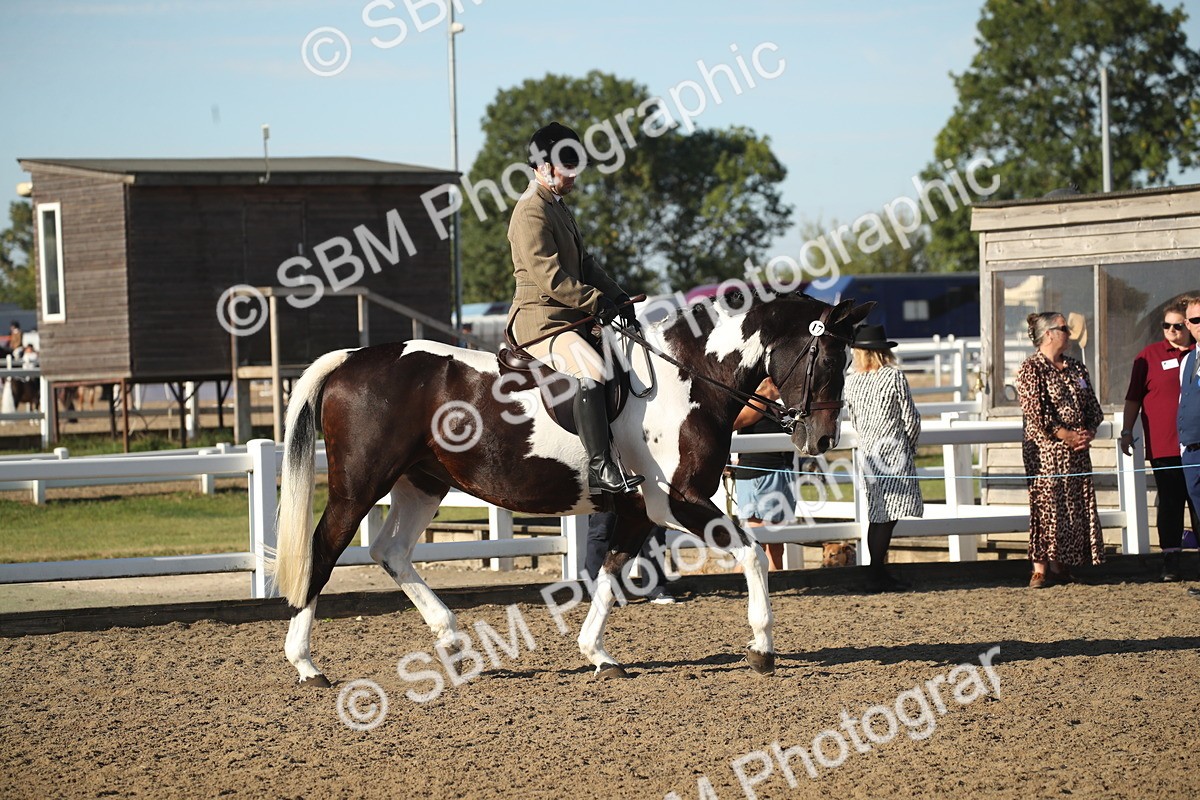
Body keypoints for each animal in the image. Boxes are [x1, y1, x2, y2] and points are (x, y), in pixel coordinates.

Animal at [270, 291, 873, 686]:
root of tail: (353, 359)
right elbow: (751, 555)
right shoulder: (677, 501)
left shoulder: (639, 507)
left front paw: (597, 654)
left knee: (390, 550)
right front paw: (762, 646)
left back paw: (452, 639)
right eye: (827, 359)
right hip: (359, 486)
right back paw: (306, 664)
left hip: (423, 483)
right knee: (325, 550)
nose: (822, 438)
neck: (690, 376)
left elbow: (611, 571)